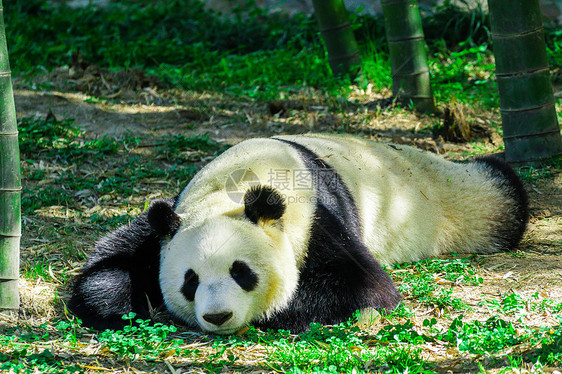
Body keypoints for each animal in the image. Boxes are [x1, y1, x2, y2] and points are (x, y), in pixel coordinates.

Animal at [69, 134, 524, 334]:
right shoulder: (174, 215)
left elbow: (362, 285)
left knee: (493, 194)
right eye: (190, 281)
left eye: (241, 272)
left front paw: (279, 309)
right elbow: (111, 262)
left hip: (444, 199)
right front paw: (133, 304)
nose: (217, 316)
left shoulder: (313, 221)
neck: (237, 185)